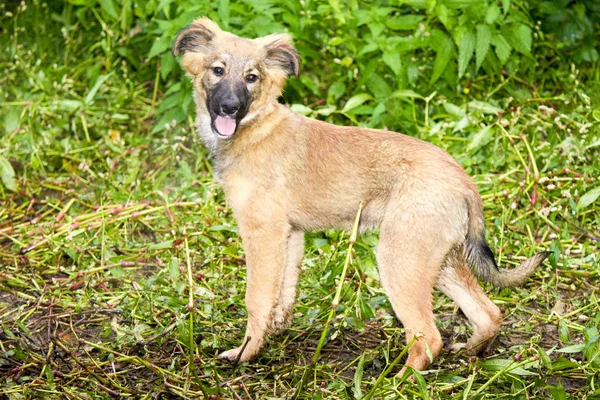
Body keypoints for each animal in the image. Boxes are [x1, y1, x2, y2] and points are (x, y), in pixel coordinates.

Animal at [172, 18, 548, 374]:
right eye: (217, 70)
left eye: (251, 78)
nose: (230, 107)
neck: (256, 129)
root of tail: (463, 180)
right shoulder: (289, 235)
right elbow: (284, 292)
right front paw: (273, 333)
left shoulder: (262, 233)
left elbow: (256, 298)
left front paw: (246, 352)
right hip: (438, 261)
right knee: (487, 313)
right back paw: (470, 353)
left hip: (399, 259)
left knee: (429, 336)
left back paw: (398, 382)